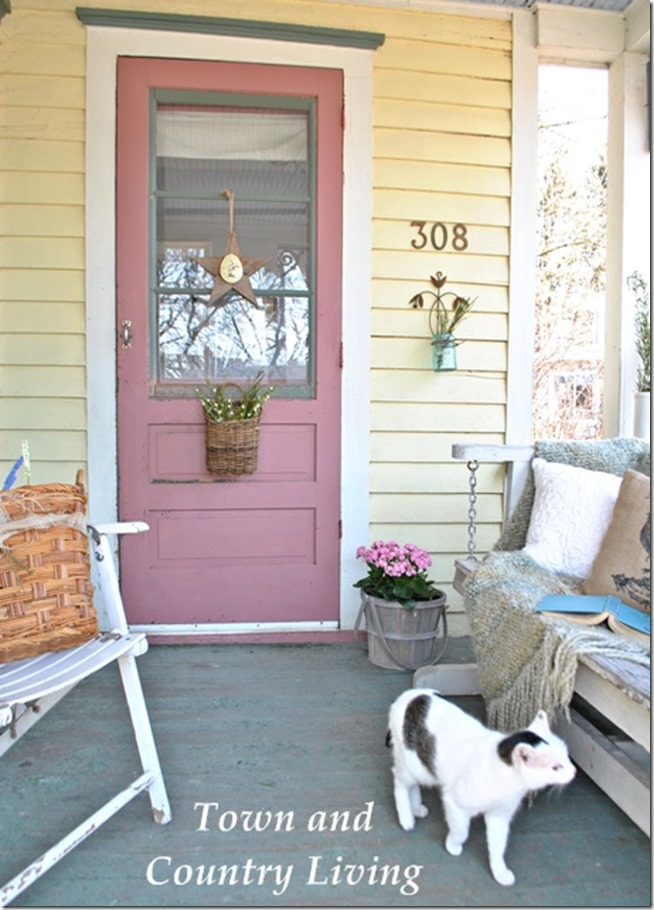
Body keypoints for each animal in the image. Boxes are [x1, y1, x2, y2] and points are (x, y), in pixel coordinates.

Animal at [386, 688, 576, 888]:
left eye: (566, 756)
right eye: (556, 767)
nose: (574, 771)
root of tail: (409, 695)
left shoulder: (499, 816)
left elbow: (498, 846)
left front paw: (499, 872)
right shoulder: (455, 803)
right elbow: (461, 832)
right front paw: (453, 846)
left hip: (425, 769)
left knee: (414, 785)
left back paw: (416, 807)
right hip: (412, 765)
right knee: (400, 782)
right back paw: (406, 817)